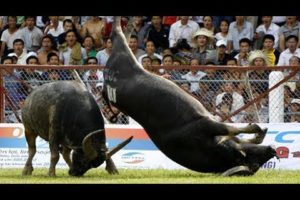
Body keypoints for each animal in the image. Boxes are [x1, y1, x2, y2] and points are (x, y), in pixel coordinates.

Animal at [103, 17, 276, 177]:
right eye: (255, 163)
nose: (272, 150)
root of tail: (106, 81)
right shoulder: (206, 124)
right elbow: (230, 129)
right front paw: (256, 129)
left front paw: (259, 133)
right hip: (124, 53)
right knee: (117, 32)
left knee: (121, 33)